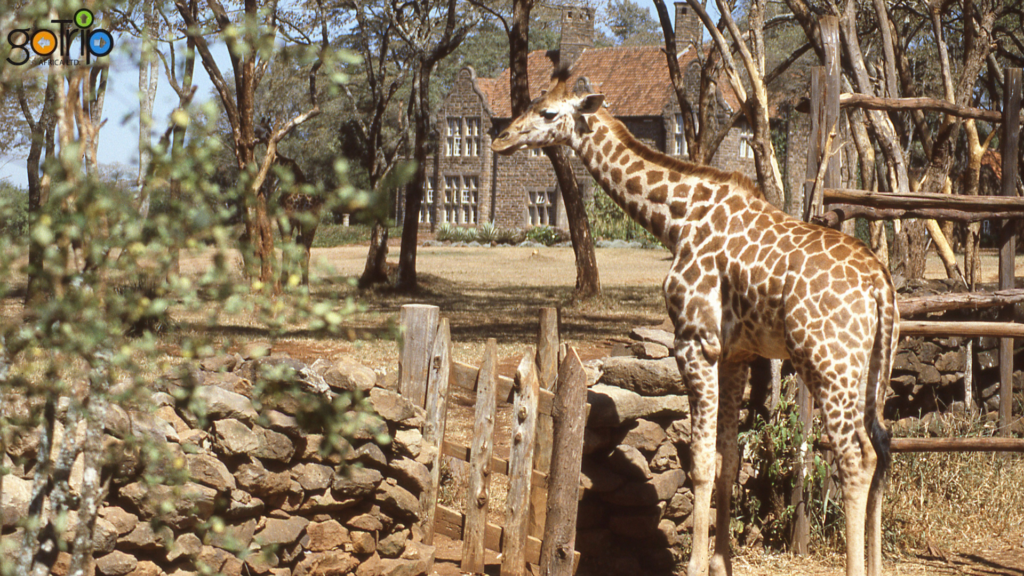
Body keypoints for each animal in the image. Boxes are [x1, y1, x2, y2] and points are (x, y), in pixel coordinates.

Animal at [492, 69, 897, 576]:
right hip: (871, 370)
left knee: (855, 458)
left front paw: (696, 565)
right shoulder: (736, 353)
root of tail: (881, 286)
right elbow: (728, 459)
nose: (501, 139)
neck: (676, 219)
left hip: (827, 364)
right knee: (881, 449)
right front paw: (723, 562)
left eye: (547, 112)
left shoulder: (694, 341)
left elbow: (701, 463)